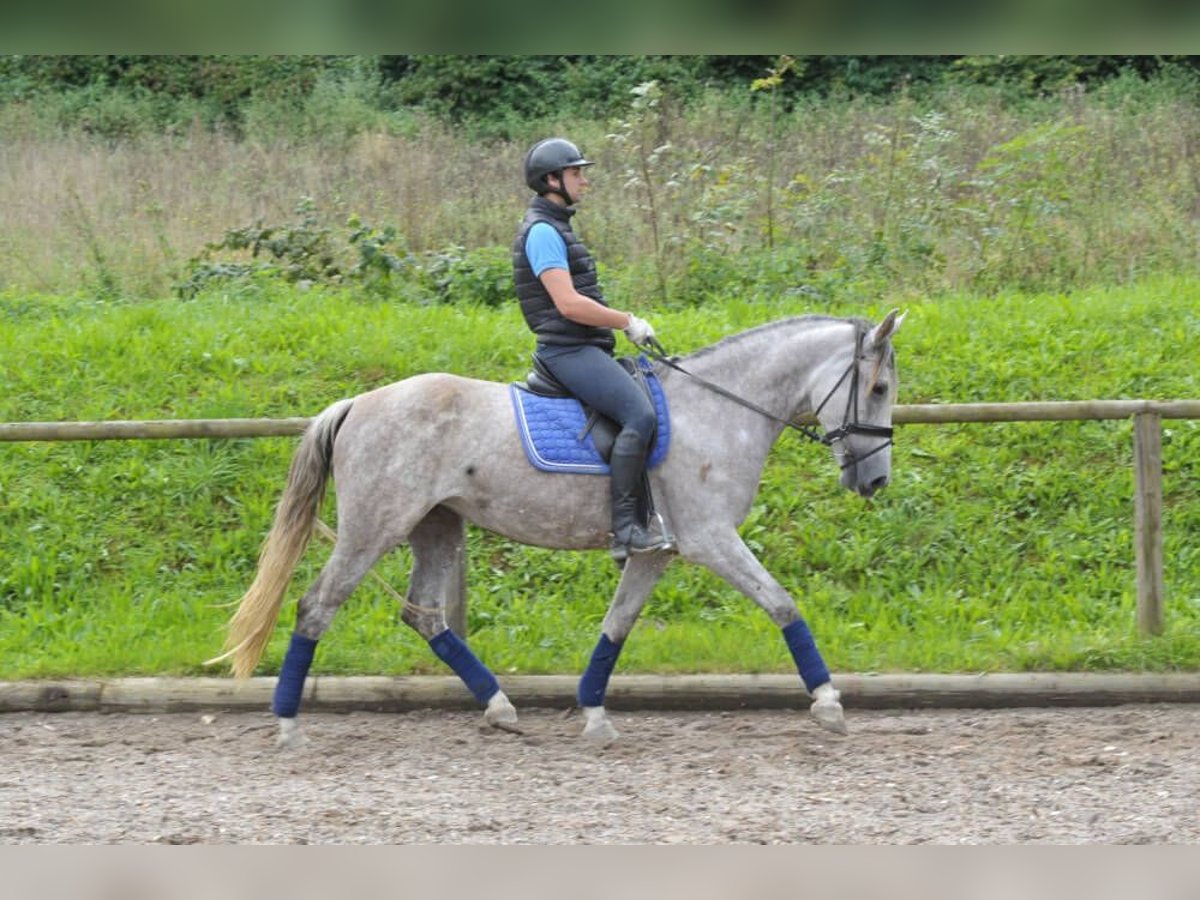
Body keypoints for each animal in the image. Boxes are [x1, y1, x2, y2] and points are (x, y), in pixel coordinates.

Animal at [211, 309, 902, 748]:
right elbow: (782, 604)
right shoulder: (710, 539)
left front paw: (594, 714)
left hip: (435, 526)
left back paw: (499, 707)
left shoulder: (657, 551)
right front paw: (829, 704)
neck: (718, 408)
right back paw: (288, 725)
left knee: (424, 615)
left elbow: (617, 626)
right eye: (878, 386)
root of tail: (357, 403)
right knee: (316, 607)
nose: (875, 482)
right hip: (372, 527)